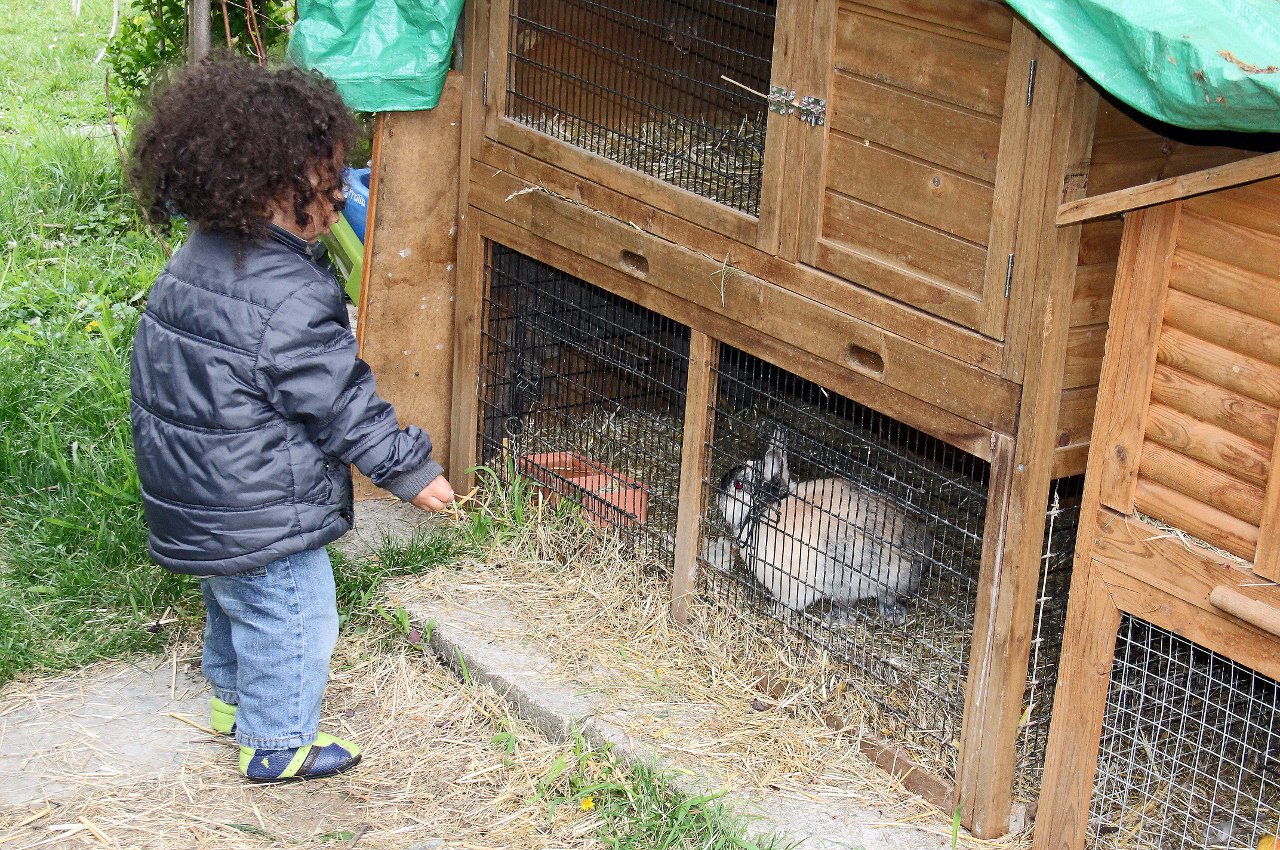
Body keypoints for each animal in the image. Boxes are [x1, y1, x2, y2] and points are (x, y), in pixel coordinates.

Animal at [721, 432, 921, 624]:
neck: (766, 511)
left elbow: (788, 603)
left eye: (738, 485)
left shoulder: (794, 586)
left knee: (884, 599)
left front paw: (777, 613)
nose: (720, 490)